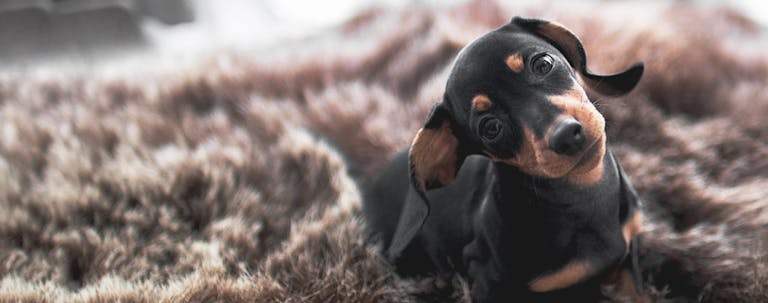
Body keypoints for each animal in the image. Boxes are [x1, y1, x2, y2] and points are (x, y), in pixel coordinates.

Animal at [364, 17, 648, 303]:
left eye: (543, 64)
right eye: (491, 128)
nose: (567, 135)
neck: (584, 193)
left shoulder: (628, 261)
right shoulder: (488, 282)